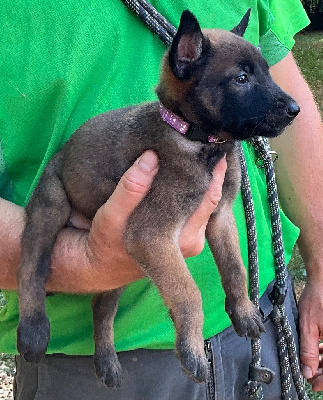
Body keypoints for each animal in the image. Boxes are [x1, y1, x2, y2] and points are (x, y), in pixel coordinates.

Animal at [17, 9, 302, 388]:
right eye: (241, 79)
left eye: (267, 73)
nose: (295, 109)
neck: (197, 141)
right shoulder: (151, 236)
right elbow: (189, 293)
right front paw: (192, 349)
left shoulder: (220, 217)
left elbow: (236, 267)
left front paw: (243, 311)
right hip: (52, 203)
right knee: (30, 268)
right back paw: (33, 332)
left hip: (119, 268)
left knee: (101, 308)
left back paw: (106, 361)